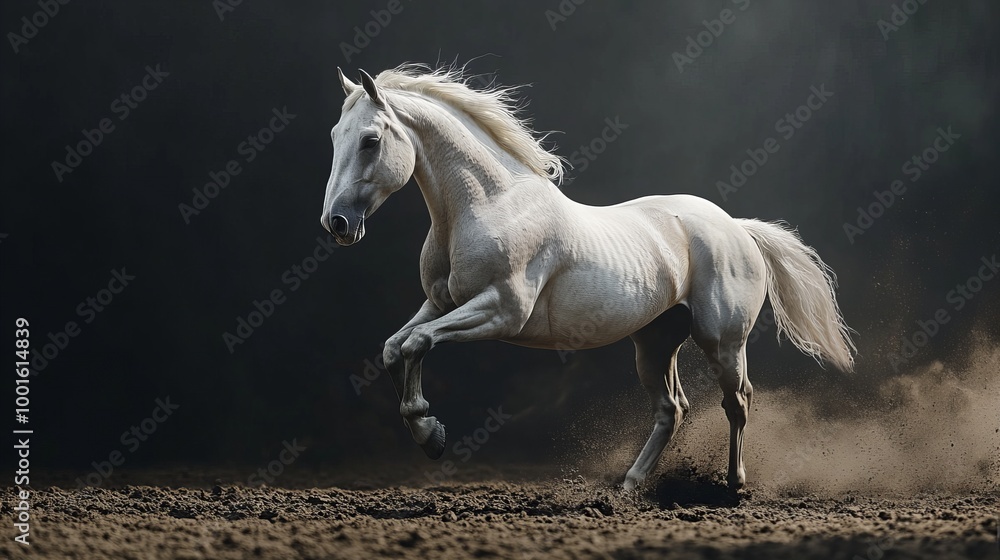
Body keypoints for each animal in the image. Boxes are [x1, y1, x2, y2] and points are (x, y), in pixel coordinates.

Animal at [320, 64, 855, 491]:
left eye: (370, 140)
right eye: (334, 136)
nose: (337, 223)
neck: (489, 204)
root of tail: (738, 228)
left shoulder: (501, 311)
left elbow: (416, 344)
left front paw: (431, 434)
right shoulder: (440, 304)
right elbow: (396, 347)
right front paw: (428, 432)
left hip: (721, 341)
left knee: (738, 401)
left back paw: (733, 484)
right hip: (655, 343)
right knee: (672, 409)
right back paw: (628, 486)